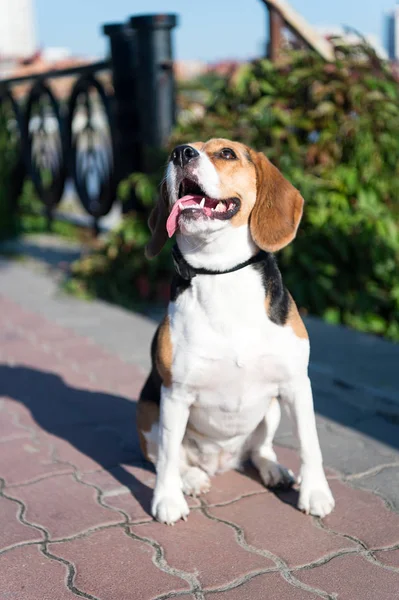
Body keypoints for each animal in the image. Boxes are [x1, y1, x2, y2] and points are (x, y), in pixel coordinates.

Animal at [137, 138, 334, 524]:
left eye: (226, 153)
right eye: (179, 150)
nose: (180, 152)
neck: (221, 273)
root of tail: (222, 462)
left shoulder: (296, 385)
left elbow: (310, 444)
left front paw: (316, 492)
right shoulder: (175, 394)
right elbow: (167, 455)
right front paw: (166, 499)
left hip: (271, 409)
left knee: (259, 449)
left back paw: (274, 469)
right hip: (148, 411)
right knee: (171, 456)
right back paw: (190, 479)